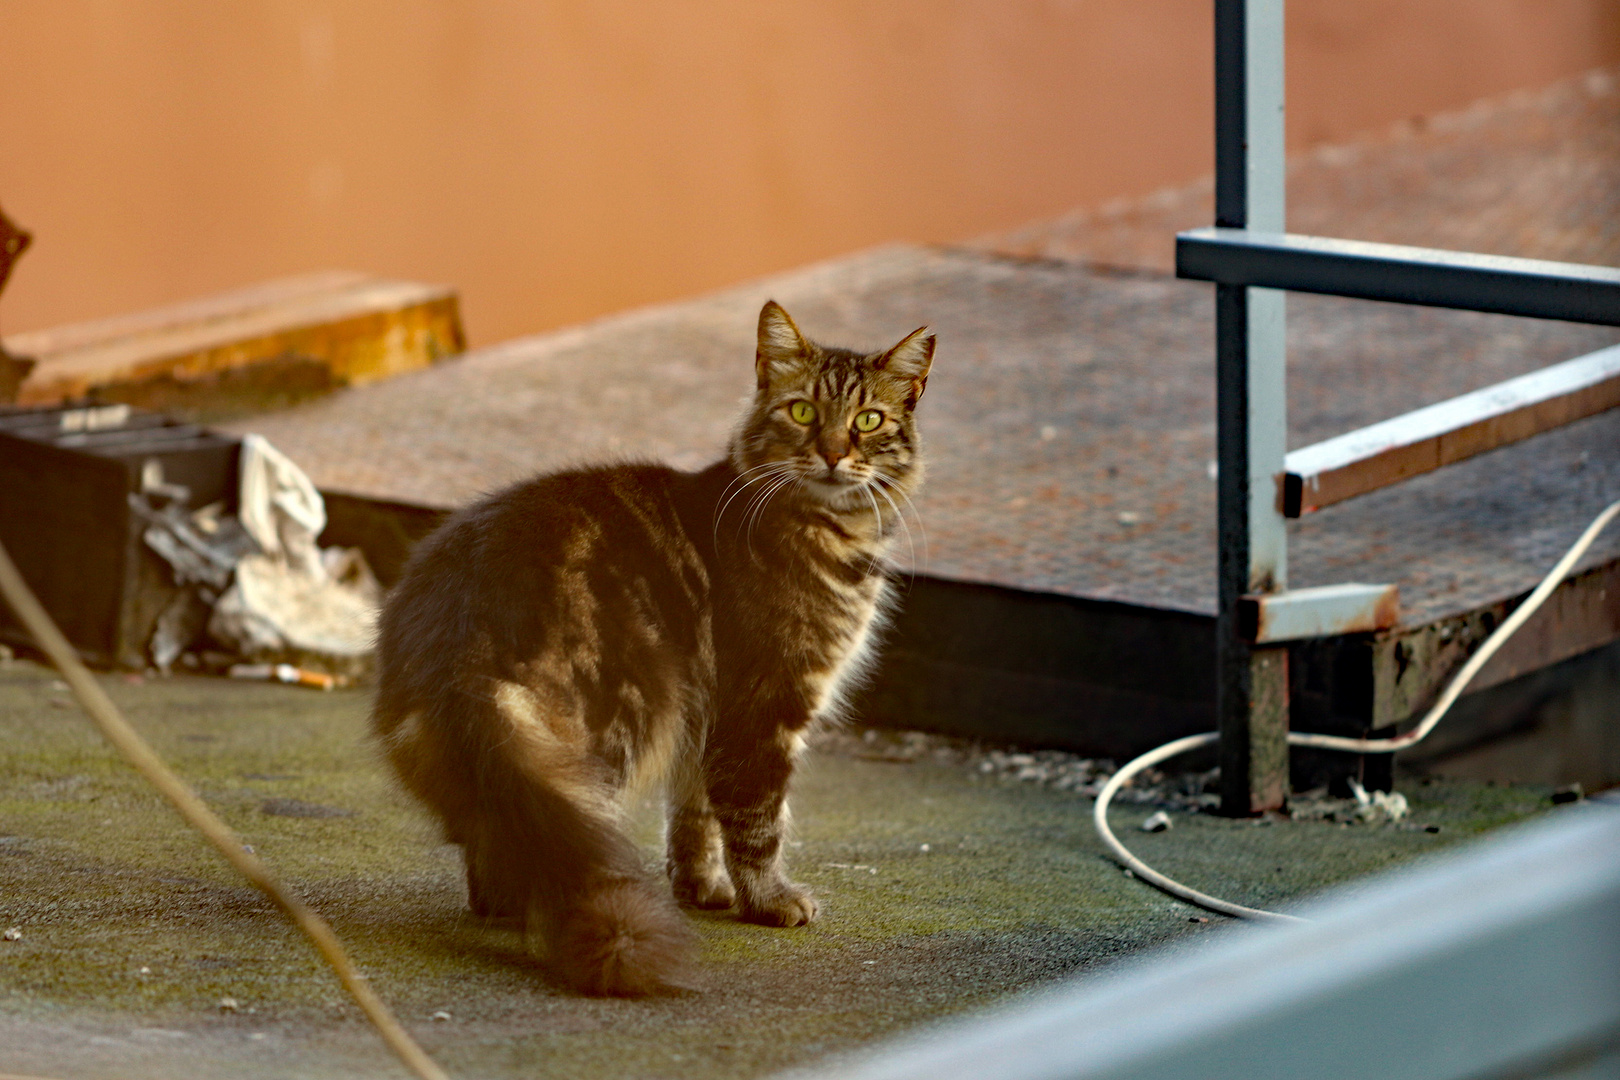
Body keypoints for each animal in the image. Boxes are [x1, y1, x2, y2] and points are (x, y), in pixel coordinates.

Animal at [366, 302, 926, 997]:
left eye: (868, 420)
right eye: (802, 412)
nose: (831, 452)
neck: (839, 533)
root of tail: (460, 623)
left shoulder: (704, 720)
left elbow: (695, 815)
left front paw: (701, 887)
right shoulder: (761, 709)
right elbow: (757, 823)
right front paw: (770, 902)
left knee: (491, 854)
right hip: (614, 726)